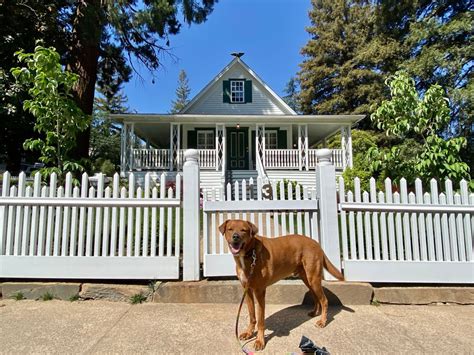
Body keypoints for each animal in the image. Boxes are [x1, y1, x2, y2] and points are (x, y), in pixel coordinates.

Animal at [220, 218, 342, 352]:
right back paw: (315, 313)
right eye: (230, 229)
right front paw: (249, 333)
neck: (249, 254)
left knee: (324, 300)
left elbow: (261, 320)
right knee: (316, 297)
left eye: (243, 230)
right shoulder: (247, 291)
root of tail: (316, 243)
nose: (235, 237)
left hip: (313, 278)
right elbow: (252, 316)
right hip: (307, 279)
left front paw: (260, 341)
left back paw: (323, 321)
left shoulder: (259, 291)